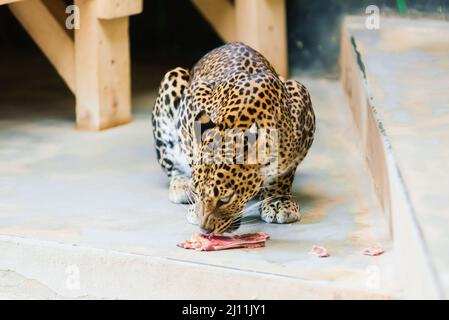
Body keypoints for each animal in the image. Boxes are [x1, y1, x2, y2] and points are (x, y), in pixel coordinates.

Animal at [150, 41, 316, 234]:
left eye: (225, 199)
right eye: (198, 192)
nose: (204, 229)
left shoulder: (301, 98)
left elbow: (284, 174)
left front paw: (278, 201)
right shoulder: (191, 104)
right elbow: (192, 150)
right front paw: (194, 206)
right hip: (173, 79)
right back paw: (181, 184)